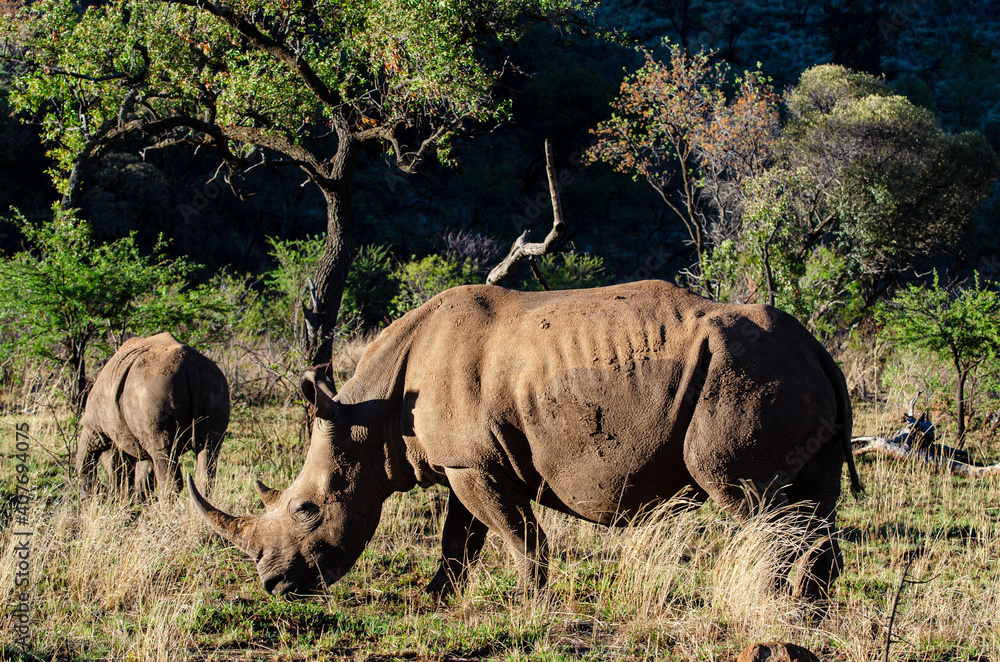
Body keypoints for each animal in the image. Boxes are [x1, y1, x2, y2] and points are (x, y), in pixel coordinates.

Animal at [77, 332, 230, 500]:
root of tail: (192, 369)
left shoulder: (96, 427)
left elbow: (87, 460)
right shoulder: (137, 435)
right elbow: (143, 474)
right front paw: (137, 500)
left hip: (156, 393)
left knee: (163, 451)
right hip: (214, 386)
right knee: (208, 447)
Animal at [189, 281, 861, 600]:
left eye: (307, 509)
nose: (273, 586)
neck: (369, 418)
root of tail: (817, 349)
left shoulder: (474, 463)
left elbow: (516, 535)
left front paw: (529, 599)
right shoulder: (461, 460)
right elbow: (458, 536)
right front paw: (438, 596)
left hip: (743, 375)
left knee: (754, 499)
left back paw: (763, 600)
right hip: (786, 372)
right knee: (812, 504)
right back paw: (806, 611)